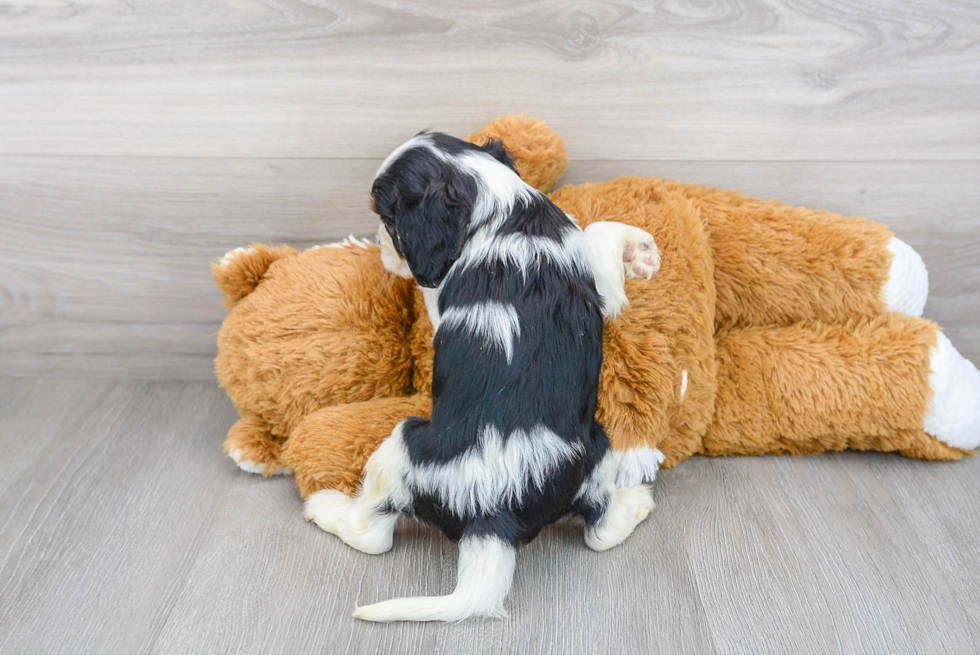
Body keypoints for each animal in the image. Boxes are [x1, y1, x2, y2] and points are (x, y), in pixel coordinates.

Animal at [302, 131, 664, 624]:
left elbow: (595, 229)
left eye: (390, 221)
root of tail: (492, 515)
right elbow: (595, 233)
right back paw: (636, 504)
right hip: (598, 448)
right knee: (600, 531)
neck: (502, 207)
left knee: (372, 536)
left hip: (399, 445)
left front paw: (638, 251)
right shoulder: (598, 290)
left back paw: (324, 507)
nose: (379, 244)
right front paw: (638, 251)